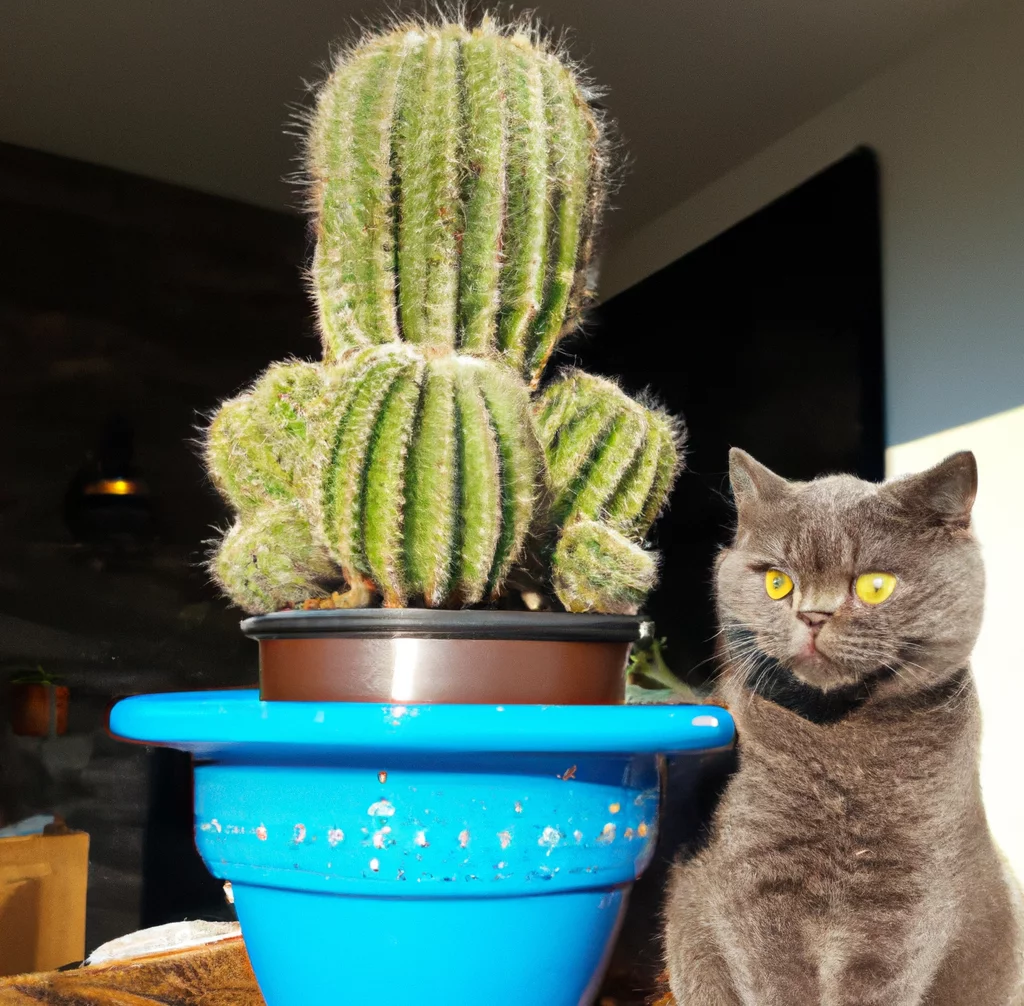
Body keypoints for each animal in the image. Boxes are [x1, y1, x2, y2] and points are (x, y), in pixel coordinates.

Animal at [667, 450, 1019, 1006]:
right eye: (778, 582)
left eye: (875, 586)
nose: (813, 615)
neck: (838, 742)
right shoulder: (753, 875)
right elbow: (774, 981)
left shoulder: (909, 890)